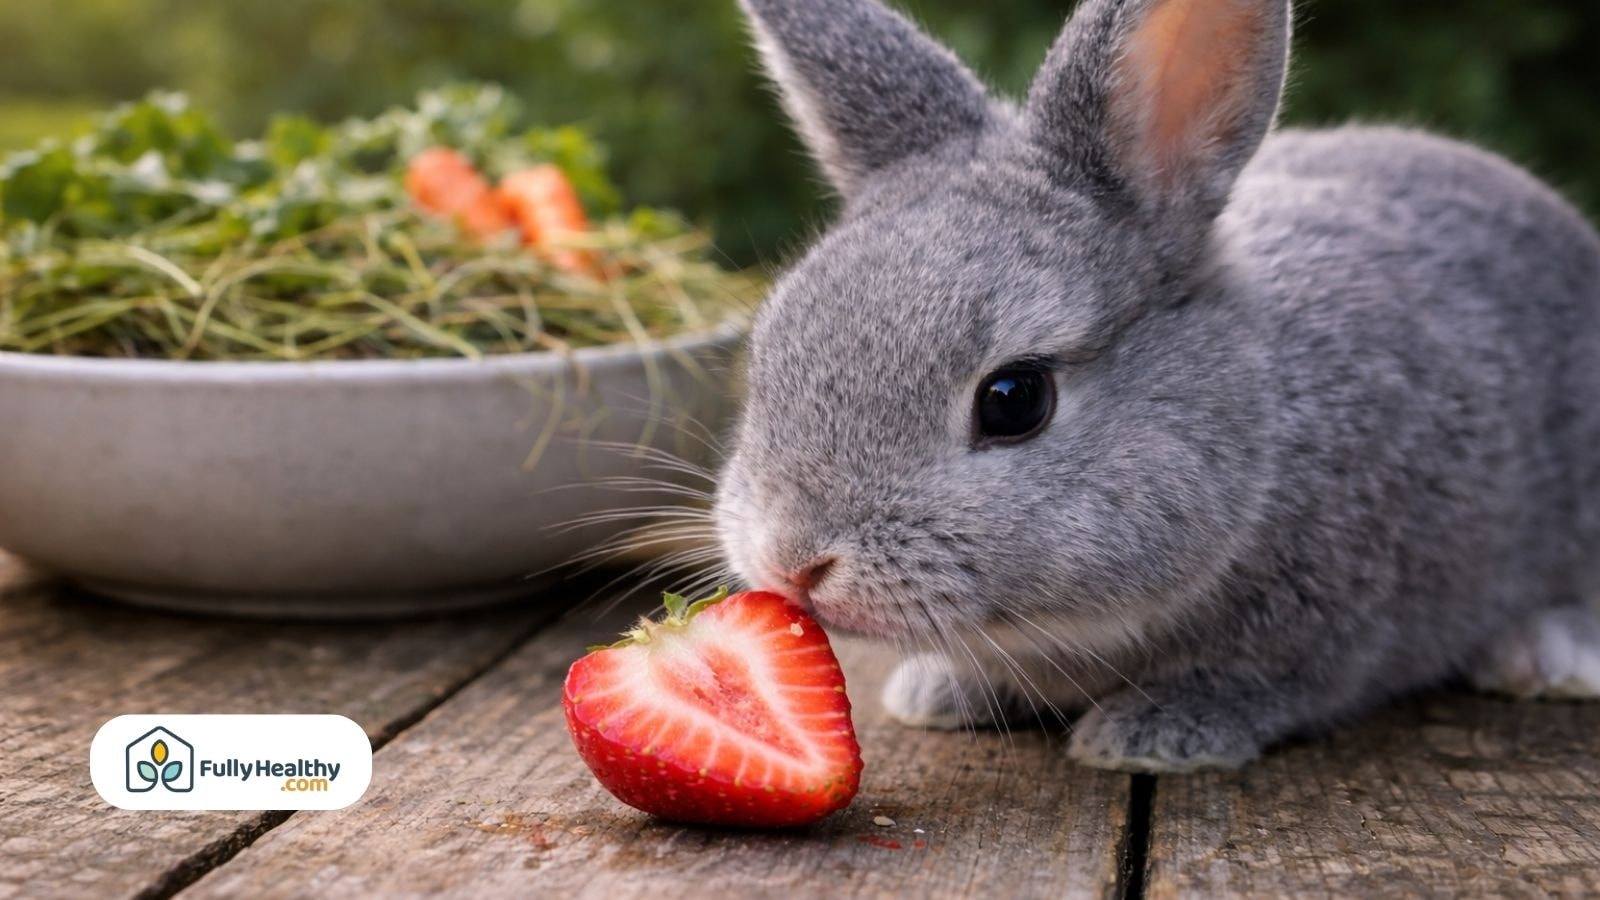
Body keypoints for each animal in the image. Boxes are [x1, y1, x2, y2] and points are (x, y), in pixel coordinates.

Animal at [713, 0, 1600, 772]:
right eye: (769, 349)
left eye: (1014, 400)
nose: (795, 562)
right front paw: (940, 693)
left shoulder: (1330, 629)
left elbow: (1266, 680)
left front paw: (1155, 736)